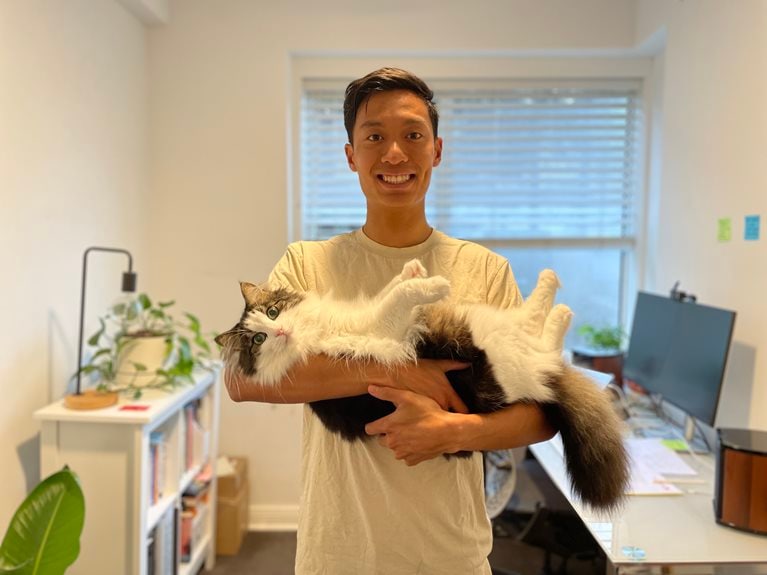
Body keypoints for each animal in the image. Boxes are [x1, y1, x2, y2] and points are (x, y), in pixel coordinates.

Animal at [216, 260, 630, 512]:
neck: (311, 335)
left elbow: (391, 288)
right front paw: (432, 284)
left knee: (542, 331)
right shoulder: (380, 327)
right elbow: (399, 298)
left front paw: (412, 270)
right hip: (498, 346)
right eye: (257, 340)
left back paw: (556, 295)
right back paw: (556, 300)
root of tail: (547, 386)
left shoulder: (370, 313)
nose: (279, 333)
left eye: (272, 313)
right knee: (538, 333)